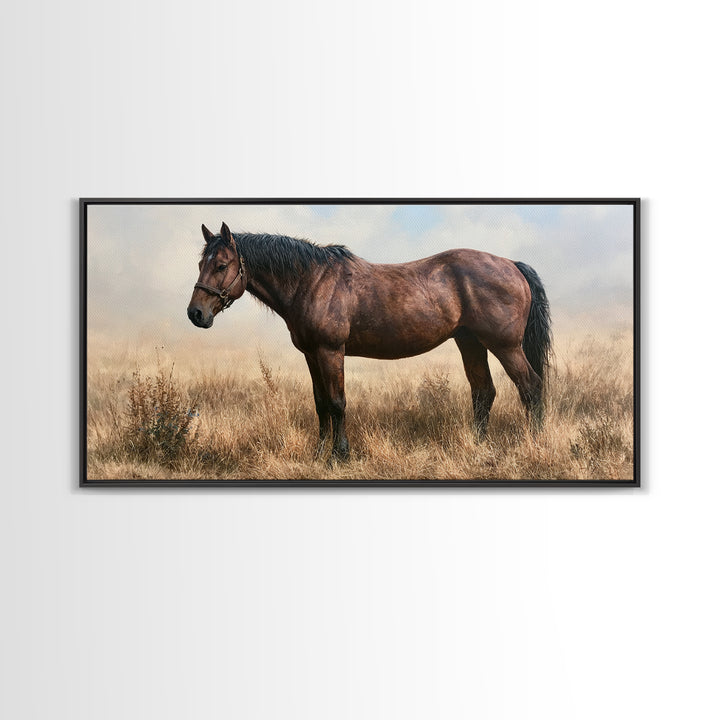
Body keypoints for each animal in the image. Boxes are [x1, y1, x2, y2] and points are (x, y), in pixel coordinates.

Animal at [187, 222, 552, 461]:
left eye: (221, 265)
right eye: (200, 263)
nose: (196, 313)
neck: (312, 281)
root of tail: (512, 265)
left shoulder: (330, 352)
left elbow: (337, 403)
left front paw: (340, 456)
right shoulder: (311, 355)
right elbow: (321, 404)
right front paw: (319, 454)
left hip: (505, 346)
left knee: (530, 386)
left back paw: (532, 443)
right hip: (471, 343)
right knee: (483, 392)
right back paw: (477, 445)